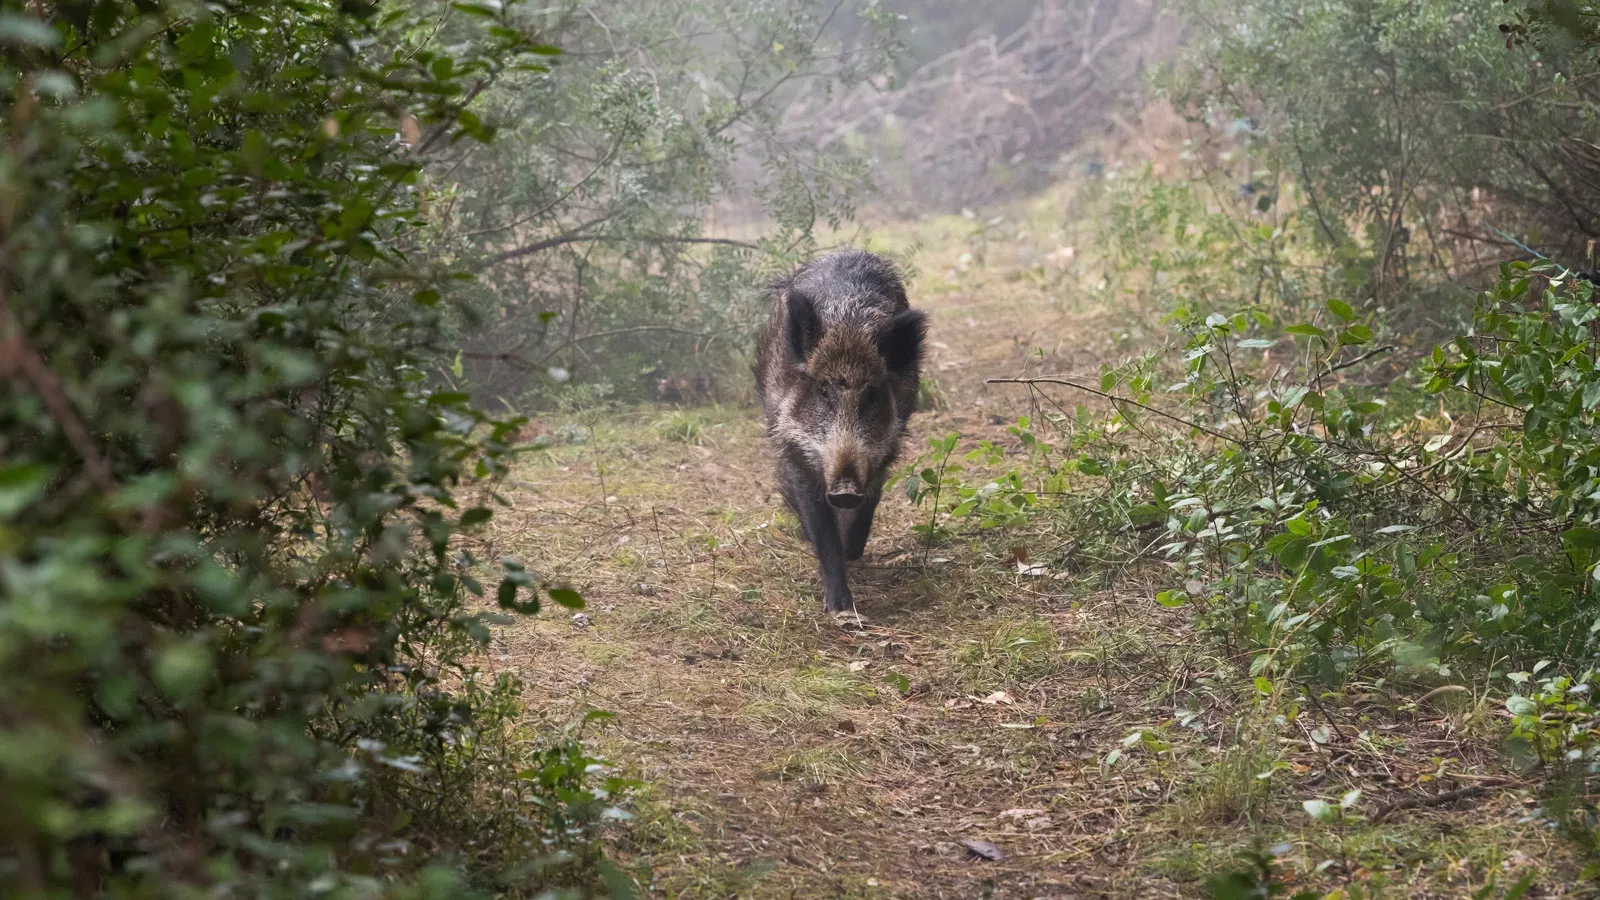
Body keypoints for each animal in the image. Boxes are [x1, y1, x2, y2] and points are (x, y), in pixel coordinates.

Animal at [754, 249, 928, 614]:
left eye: (872, 394)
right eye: (823, 390)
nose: (845, 490)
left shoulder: (882, 453)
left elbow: (868, 507)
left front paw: (852, 557)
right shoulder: (796, 454)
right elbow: (823, 533)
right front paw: (841, 609)